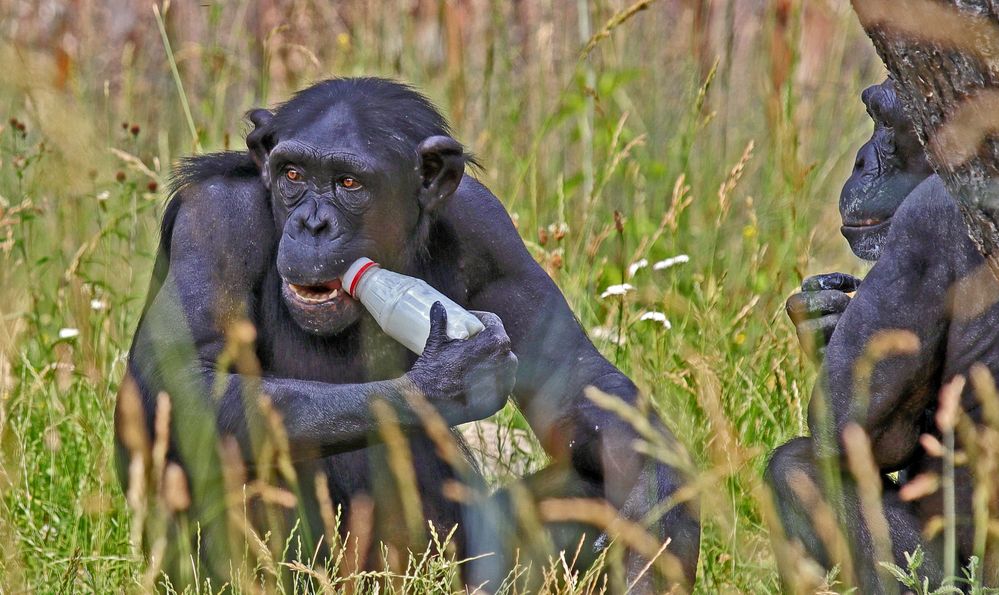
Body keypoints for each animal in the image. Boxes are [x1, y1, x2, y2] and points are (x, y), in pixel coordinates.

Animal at [117, 78, 704, 592]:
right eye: (292, 174)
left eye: (348, 183)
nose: (312, 223)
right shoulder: (215, 221)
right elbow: (188, 383)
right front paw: (445, 379)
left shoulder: (495, 237)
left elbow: (581, 384)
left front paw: (657, 509)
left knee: (587, 483)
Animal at [768, 78, 996, 592]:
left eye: (884, 120)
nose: (860, 160)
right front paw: (821, 313)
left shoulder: (919, 222)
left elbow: (851, 430)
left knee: (794, 468)